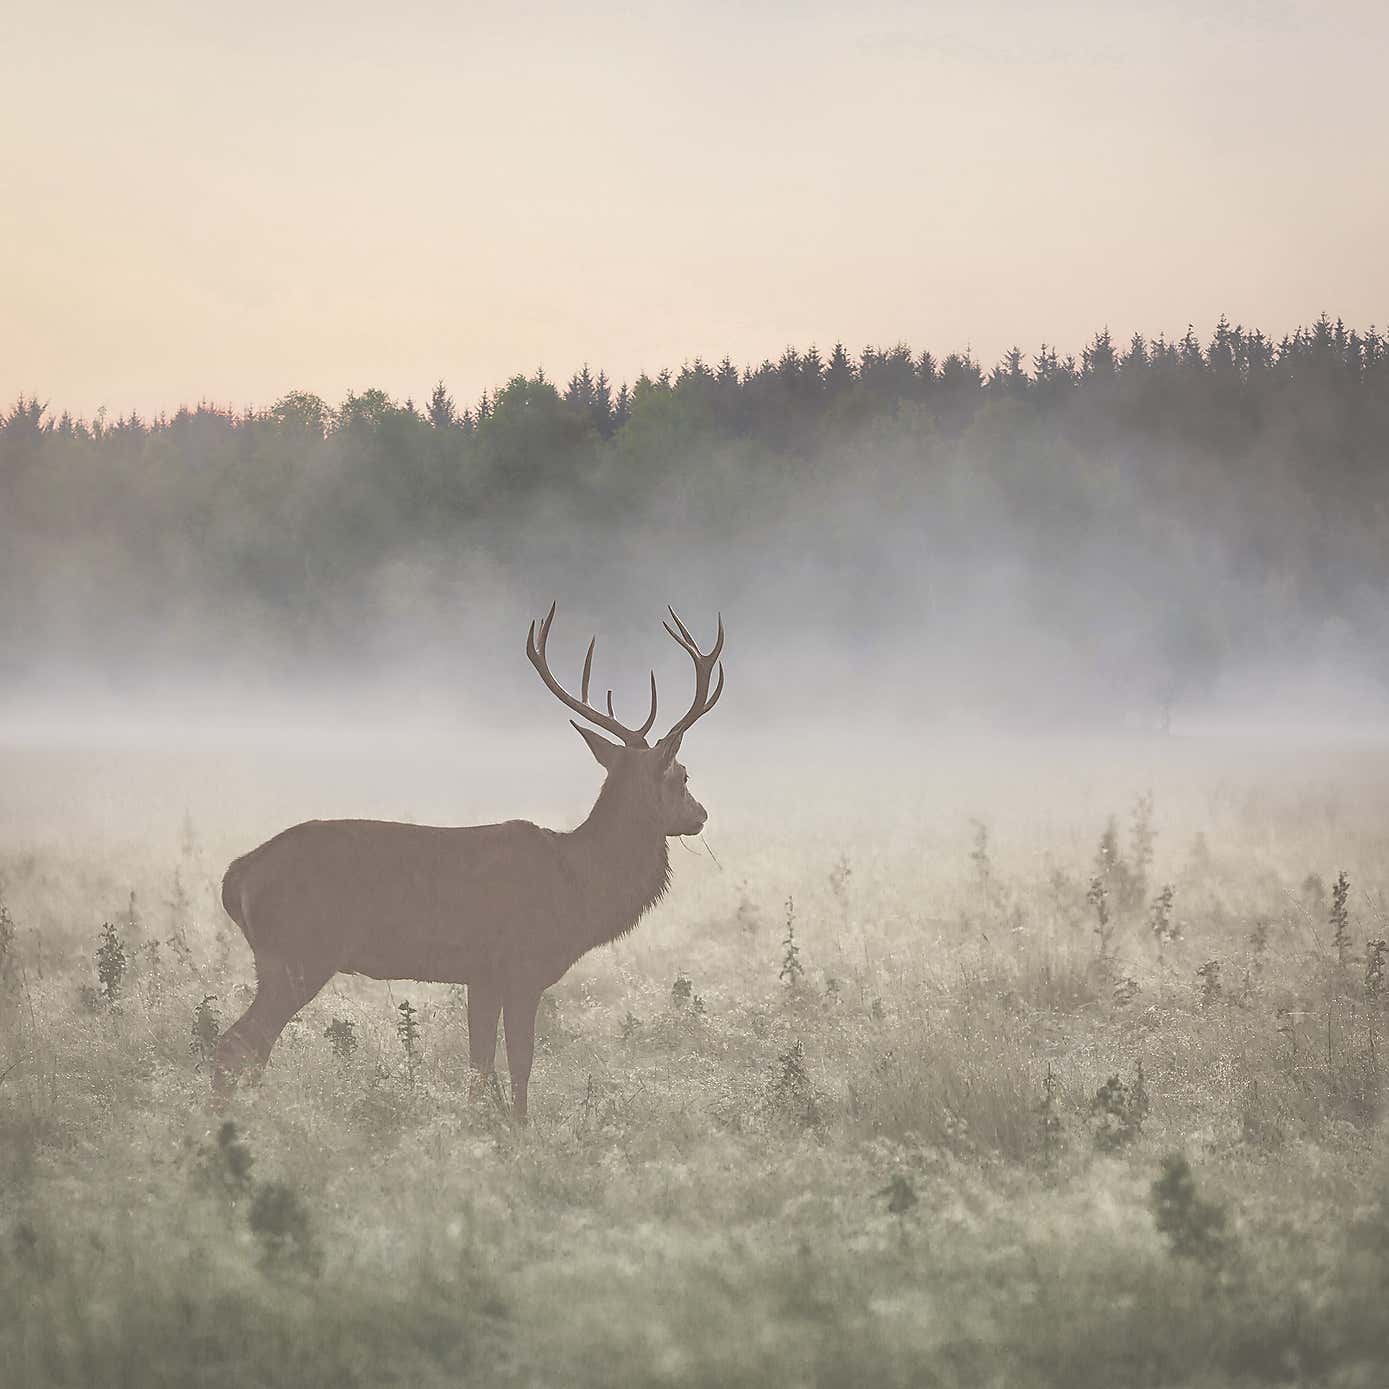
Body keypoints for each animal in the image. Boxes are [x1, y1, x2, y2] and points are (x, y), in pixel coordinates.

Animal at [213, 603, 724, 1121]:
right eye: (682, 776)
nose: (701, 815)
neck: (579, 885)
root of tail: (236, 877)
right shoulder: (523, 965)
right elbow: (520, 1063)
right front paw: (520, 1130)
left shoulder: (482, 976)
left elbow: (480, 1066)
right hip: (301, 952)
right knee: (236, 1045)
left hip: (278, 958)